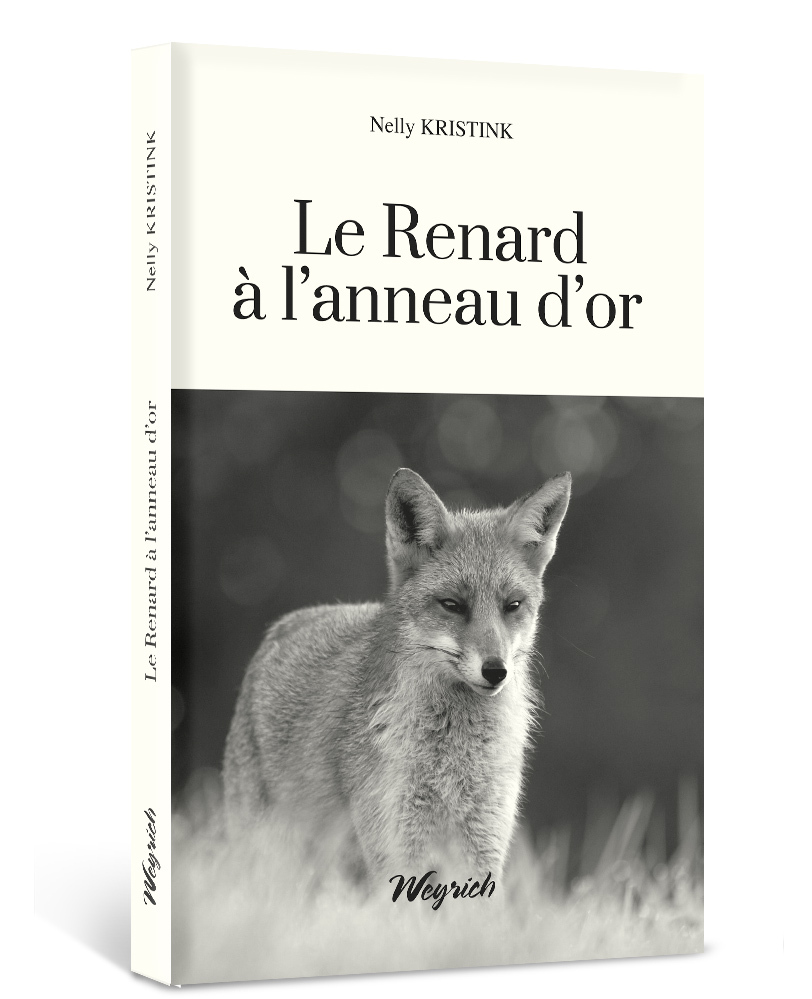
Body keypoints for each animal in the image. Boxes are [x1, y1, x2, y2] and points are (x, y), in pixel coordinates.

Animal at [222, 467, 571, 882]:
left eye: (513, 605)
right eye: (453, 605)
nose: (496, 670)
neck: (453, 763)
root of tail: (281, 627)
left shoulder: (483, 843)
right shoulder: (397, 845)